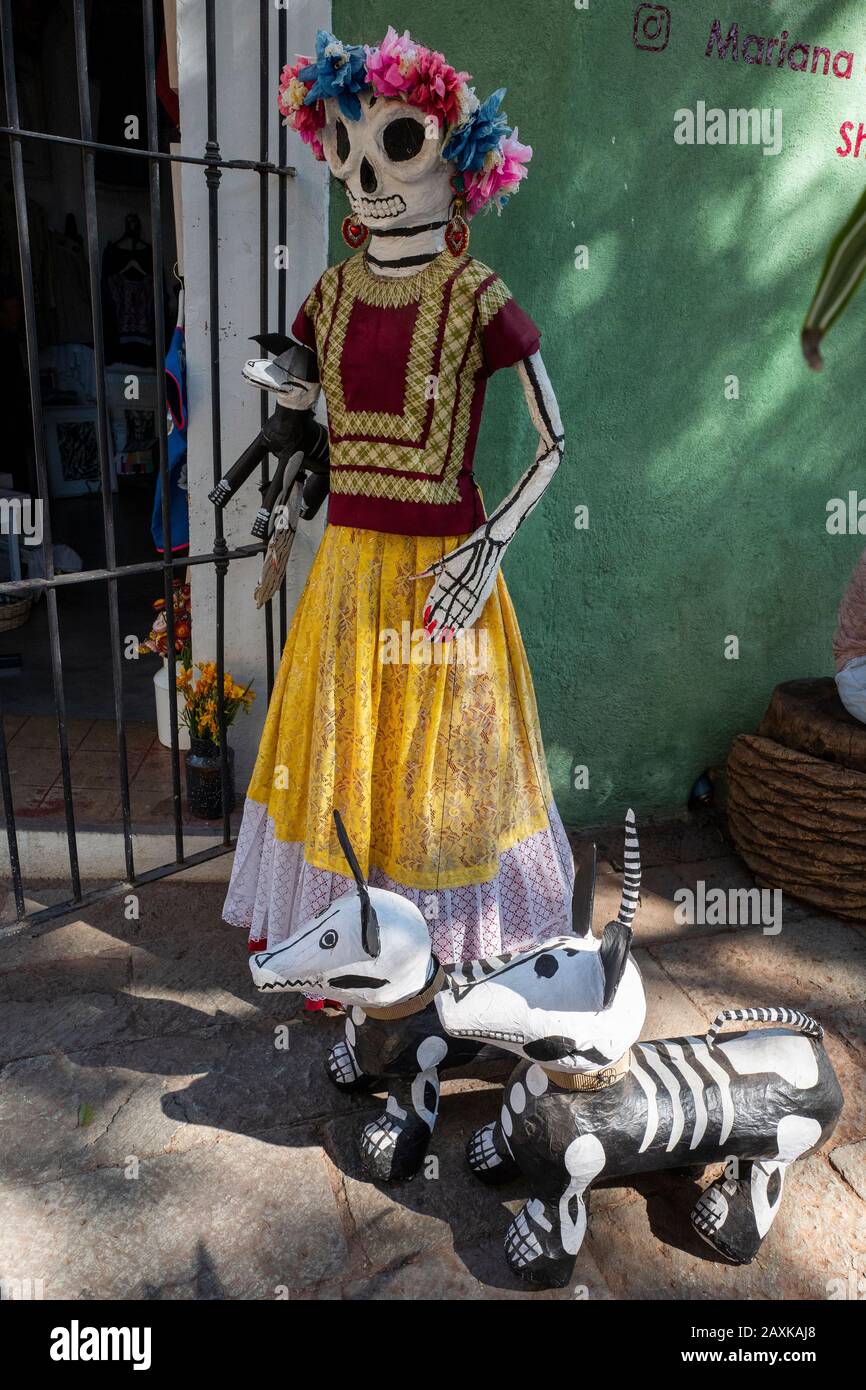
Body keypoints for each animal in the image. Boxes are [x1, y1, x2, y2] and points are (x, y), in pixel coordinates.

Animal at [248, 811, 839, 1284]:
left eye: (330, 941)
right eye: (321, 921)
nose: (259, 961)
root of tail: (814, 1047)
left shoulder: (431, 1079)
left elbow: (418, 1117)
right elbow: (357, 1063)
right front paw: (351, 1072)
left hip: (781, 1145)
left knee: (762, 1178)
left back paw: (720, 1234)